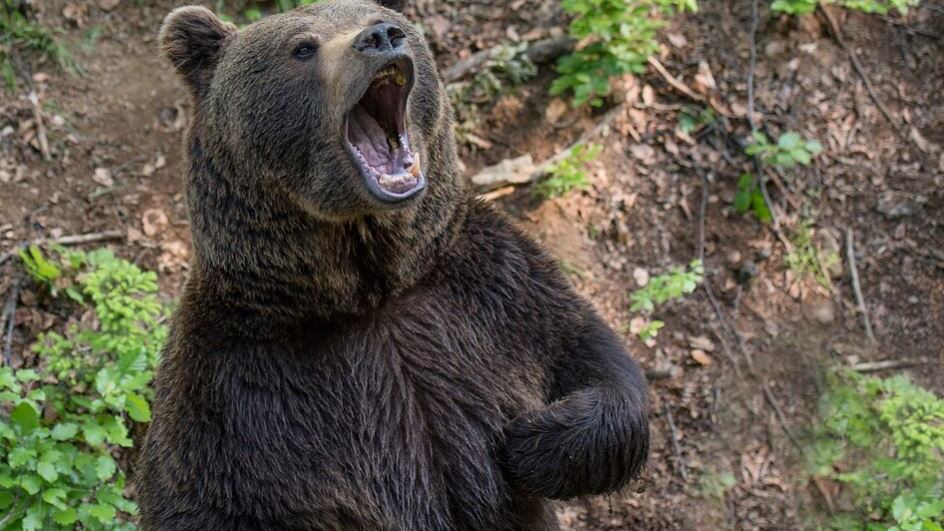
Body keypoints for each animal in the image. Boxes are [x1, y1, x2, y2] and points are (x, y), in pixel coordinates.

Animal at [137, 1, 649, 530]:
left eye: (381, 18)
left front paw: (531, 442)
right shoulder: (234, 393)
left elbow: (592, 357)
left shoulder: (494, 291)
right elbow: (204, 499)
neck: (371, 290)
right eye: (302, 47)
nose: (381, 37)